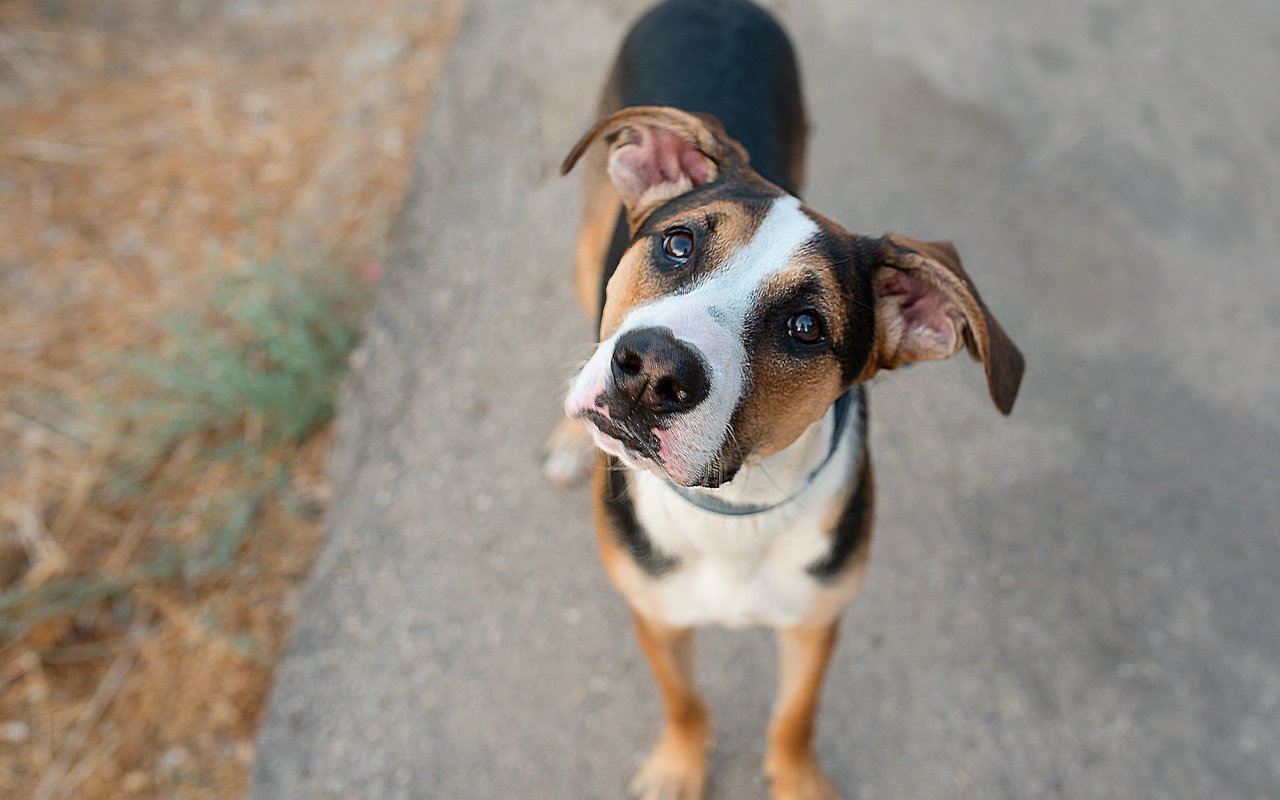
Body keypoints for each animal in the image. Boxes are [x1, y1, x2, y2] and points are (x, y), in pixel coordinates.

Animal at [545, 3, 1024, 793]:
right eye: (678, 244)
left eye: (806, 327)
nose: (650, 373)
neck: (735, 511)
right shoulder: (656, 610)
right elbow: (685, 699)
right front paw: (679, 768)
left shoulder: (817, 618)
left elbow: (795, 717)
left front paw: (798, 781)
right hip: (589, 243)